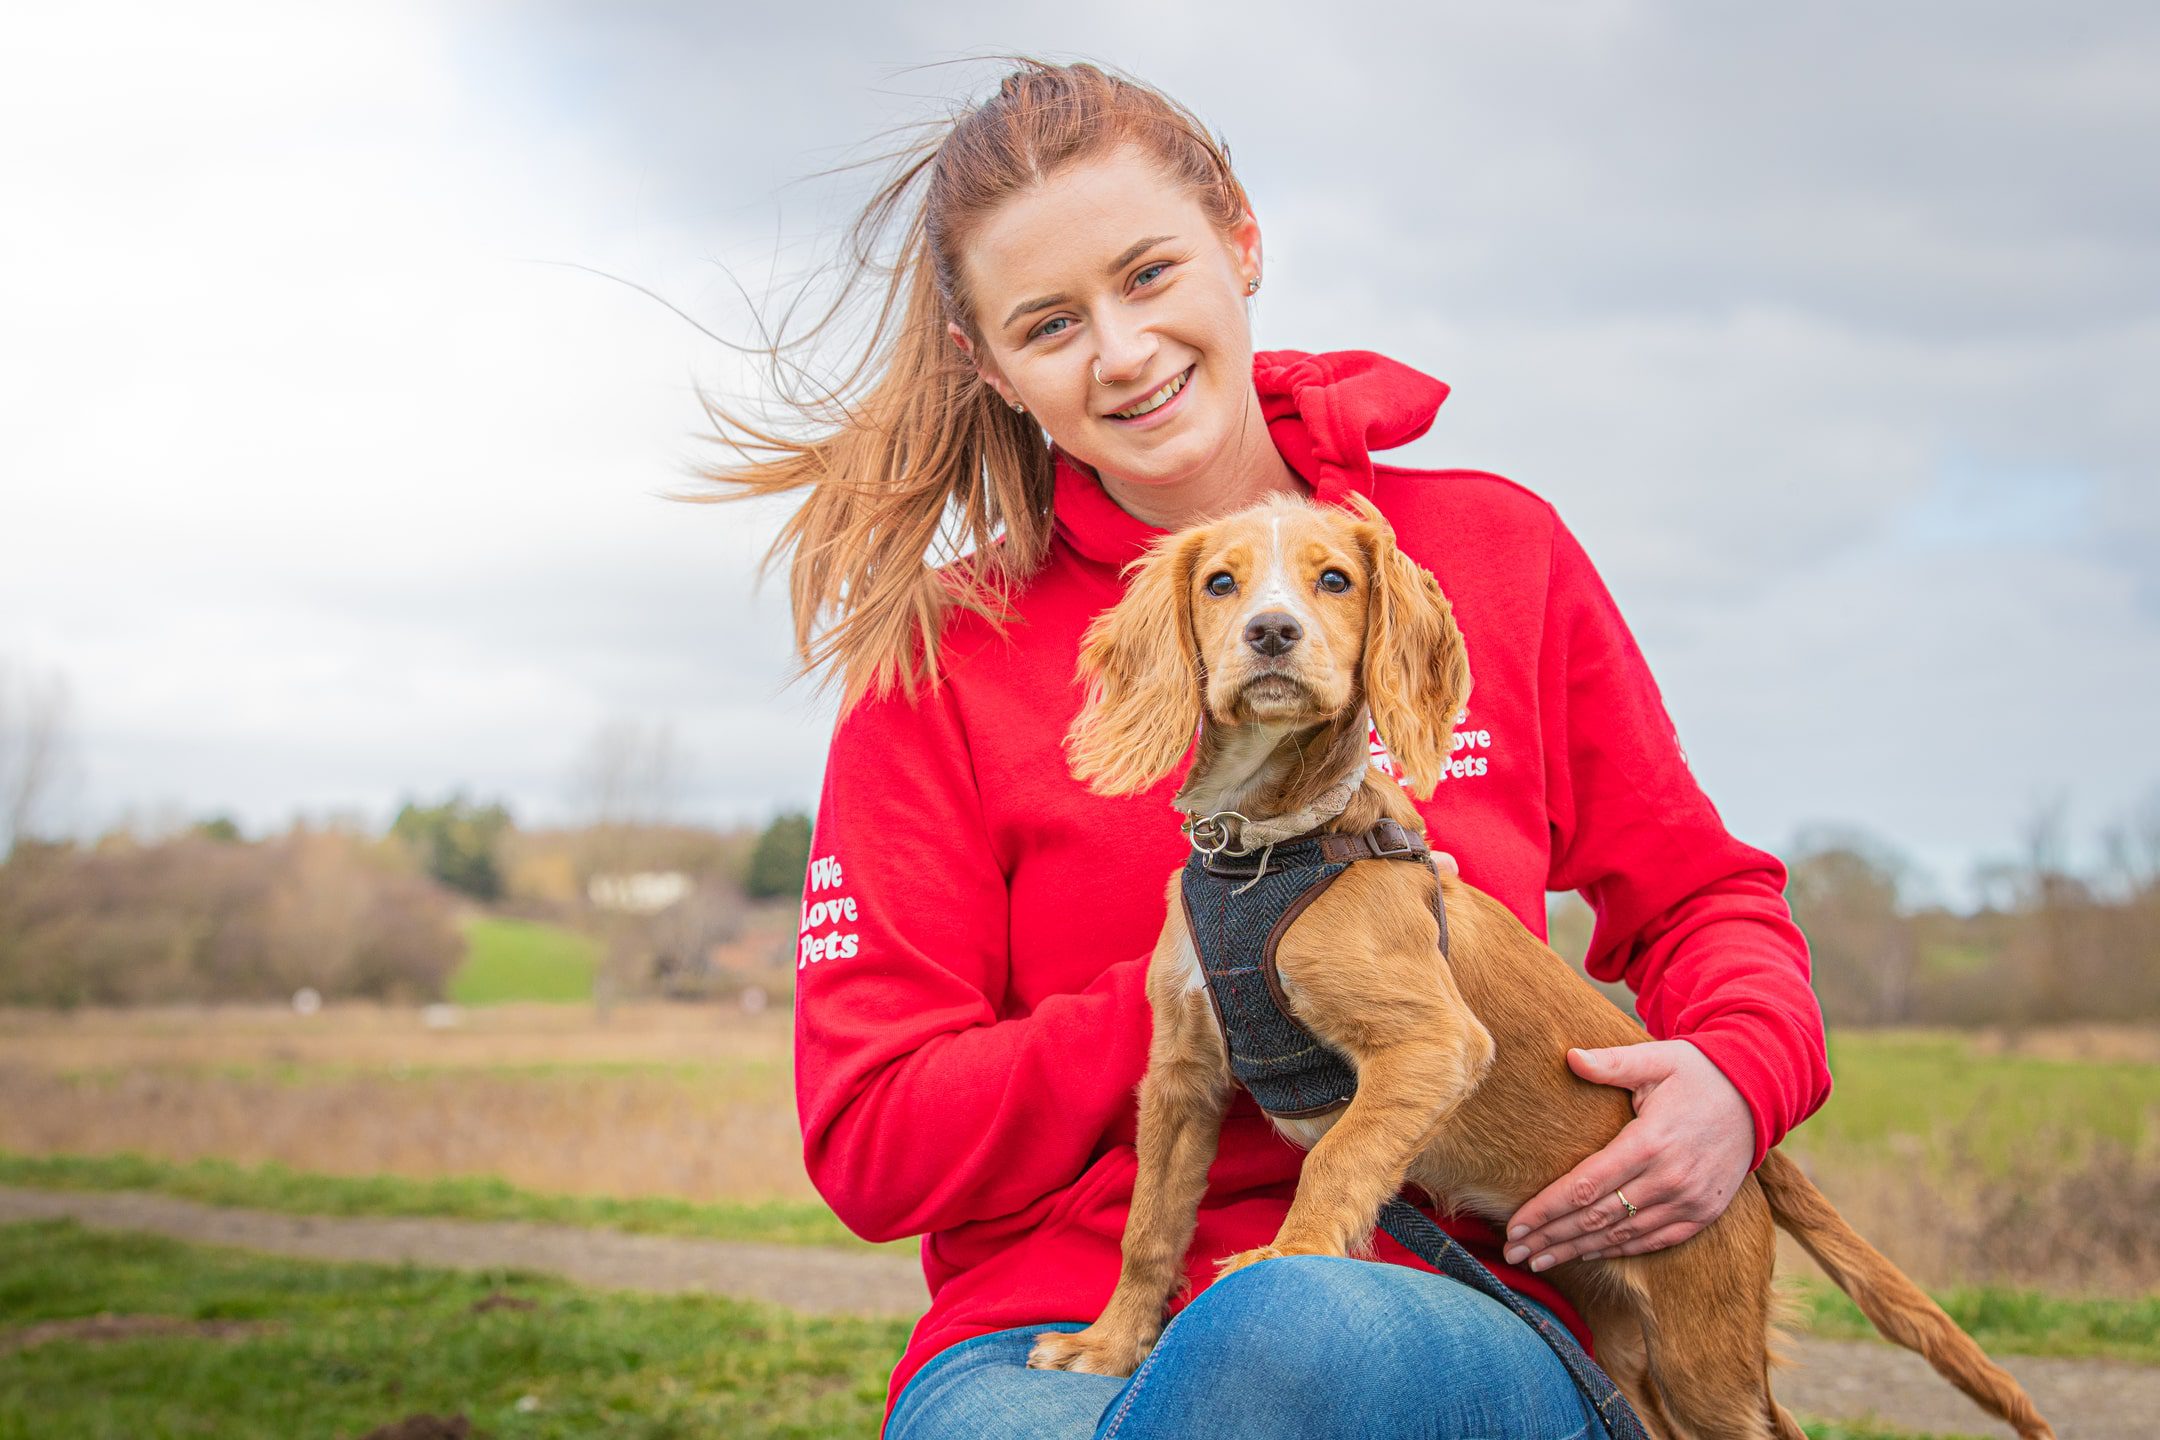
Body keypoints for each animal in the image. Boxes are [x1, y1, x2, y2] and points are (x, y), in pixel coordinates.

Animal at [1019, 492, 2047, 1440]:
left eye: (1335, 581)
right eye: (1221, 583)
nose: (1272, 633)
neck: (1267, 852)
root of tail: (1753, 1152)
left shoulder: (1435, 1042)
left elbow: (1340, 1157)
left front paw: (1289, 1253)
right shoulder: (1184, 1075)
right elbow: (1150, 1225)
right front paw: (1109, 1345)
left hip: (1702, 1345)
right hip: (1624, 1340)